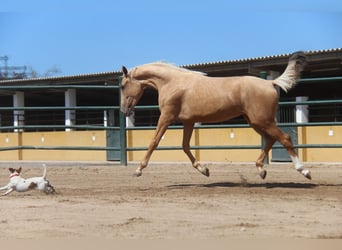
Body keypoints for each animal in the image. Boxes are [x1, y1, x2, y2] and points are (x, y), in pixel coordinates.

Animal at [121, 51, 312, 179]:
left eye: (122, 86)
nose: (124, 110)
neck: (172, 83)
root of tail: (271, 83)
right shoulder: (189, 122)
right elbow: (185, 146)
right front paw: (204, 170)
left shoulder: (166, 117)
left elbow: (154, 141)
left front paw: (138, 170)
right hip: (255, 121)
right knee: (271, 139)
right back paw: (261, 169)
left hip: (263, 120)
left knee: (285, 138)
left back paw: (304, 171)